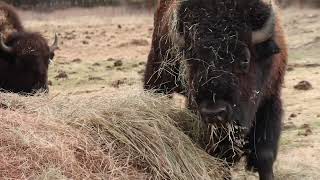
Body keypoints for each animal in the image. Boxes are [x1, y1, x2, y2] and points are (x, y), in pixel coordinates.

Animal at [144, 0, 288, 180]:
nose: (214, 112)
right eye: (192, 60)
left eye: (245, 59)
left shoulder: (271, 99)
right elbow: (220, 156)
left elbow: (264, 155)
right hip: (157, 75)